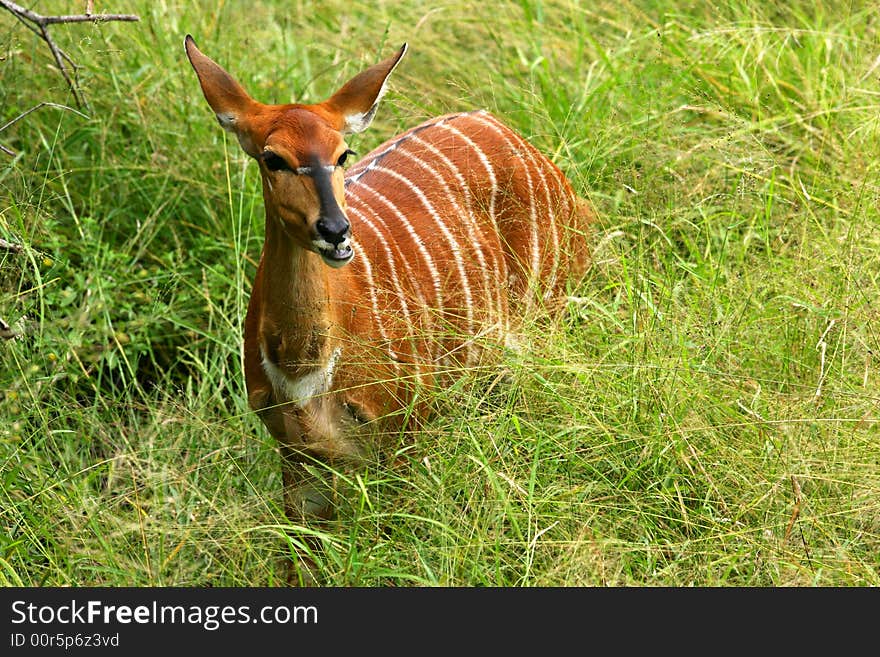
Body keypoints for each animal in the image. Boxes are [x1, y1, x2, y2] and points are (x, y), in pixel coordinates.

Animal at [184, 36, 592, 580]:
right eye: (272, 158)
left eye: (343, 153)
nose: (336, 231)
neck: (306, 367)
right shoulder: (296, 453)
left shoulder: (403, 430)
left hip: (544, 324)